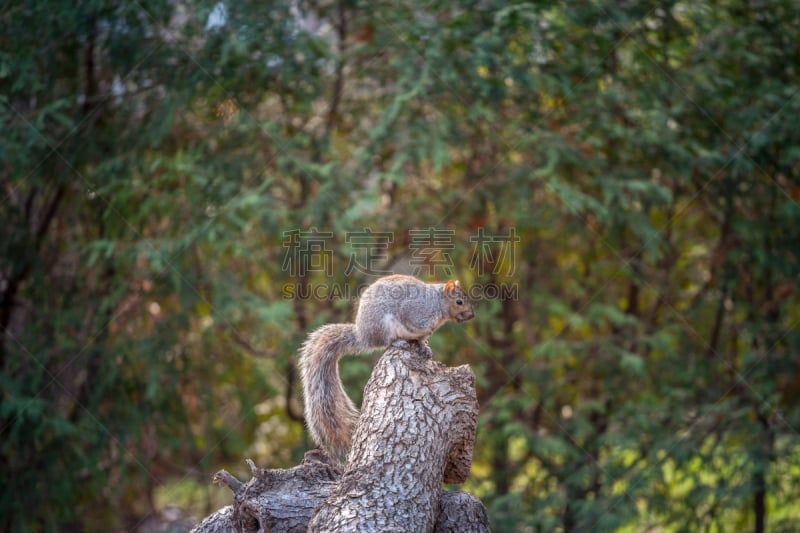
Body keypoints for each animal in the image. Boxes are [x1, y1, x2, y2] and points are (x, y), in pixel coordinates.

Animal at [300, 276, 476, 464]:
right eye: (459, 301)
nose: (471, 315)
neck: (438, 304)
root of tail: (362, 336)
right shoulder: (415, 310)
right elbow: (413, 323)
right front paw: (426, 333)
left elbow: (421, 340)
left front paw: (425, 347)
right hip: (383, 326)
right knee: (387, 342)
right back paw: (399, 342)